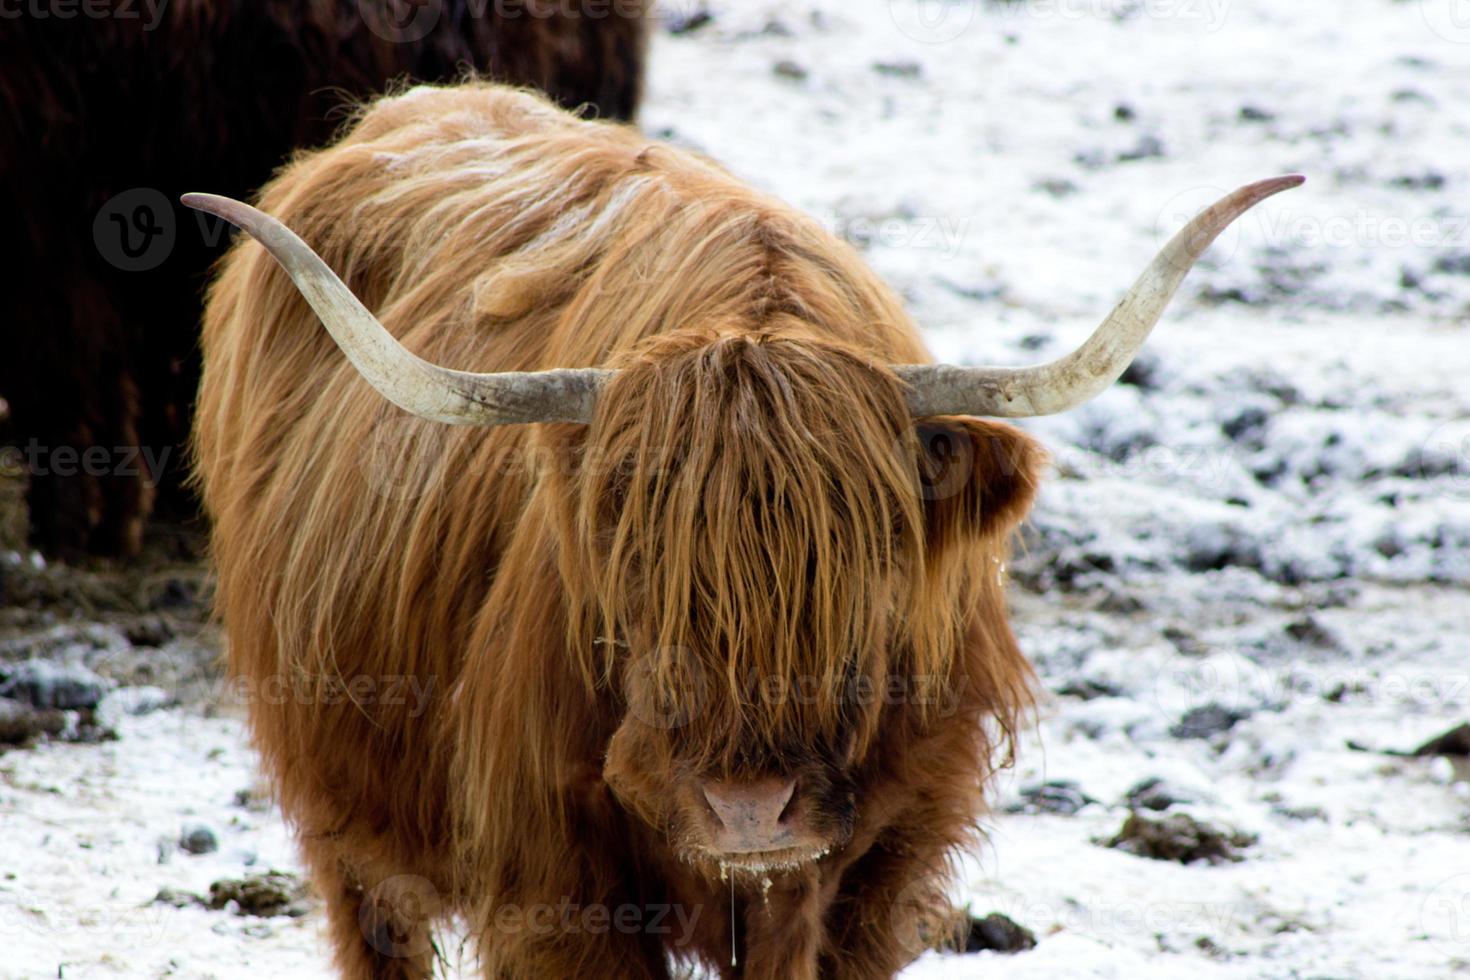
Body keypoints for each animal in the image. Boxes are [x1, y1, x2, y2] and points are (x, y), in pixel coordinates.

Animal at [183, 86, 1299, 980]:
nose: (749, 810)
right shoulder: (557, 885)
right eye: (640, 565)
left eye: (866, 562)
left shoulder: (877, 874)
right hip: (343, 809)